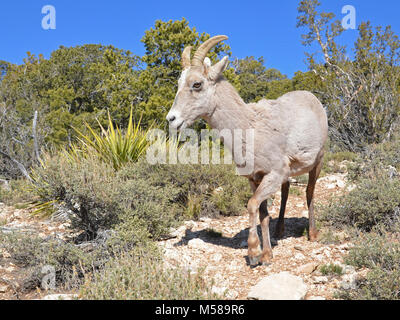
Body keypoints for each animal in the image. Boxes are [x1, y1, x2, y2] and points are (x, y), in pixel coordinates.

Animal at [167, 35, 326, 264]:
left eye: (197, 84)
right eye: (179, 83)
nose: (172, 119)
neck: (251, 128)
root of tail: (313, 99)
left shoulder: (273, 174)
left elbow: (251, 205)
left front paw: (253, 252)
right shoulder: (255, 179)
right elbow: (262, 215)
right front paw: (267, 254)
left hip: (318, 161)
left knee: (309, 192)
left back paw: (312, 234)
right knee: (286, 192)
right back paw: (279, 231)